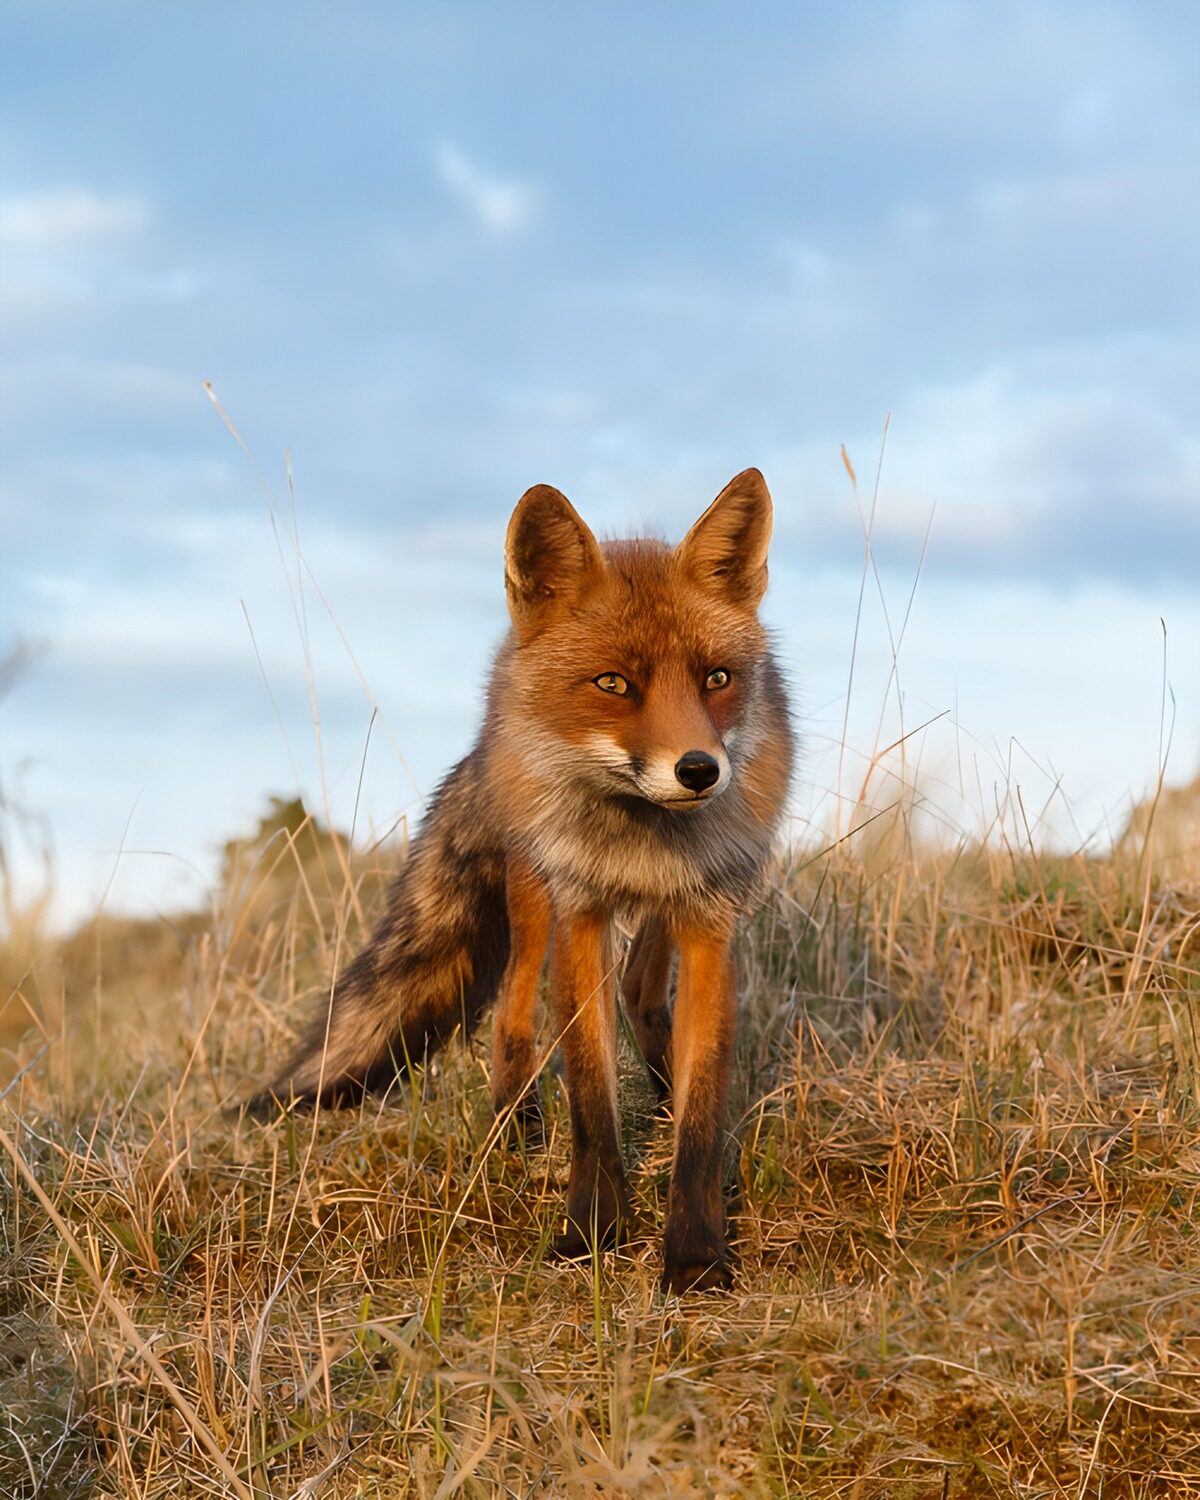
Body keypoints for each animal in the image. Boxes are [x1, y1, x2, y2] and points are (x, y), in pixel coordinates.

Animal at [248, 468, 794, 1293]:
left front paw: (696, 1255)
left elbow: (703, 1107)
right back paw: (517, 1139)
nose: (699, 770)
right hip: (532, 903)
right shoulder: (580, 913)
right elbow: (592, 1098)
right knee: (511, 1019)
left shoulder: (709, 918)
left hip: (655, 917)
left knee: (640, 989)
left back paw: (653, 1091)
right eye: (614, 683)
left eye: (717, 679)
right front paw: (592, 1230)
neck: (638, 839)